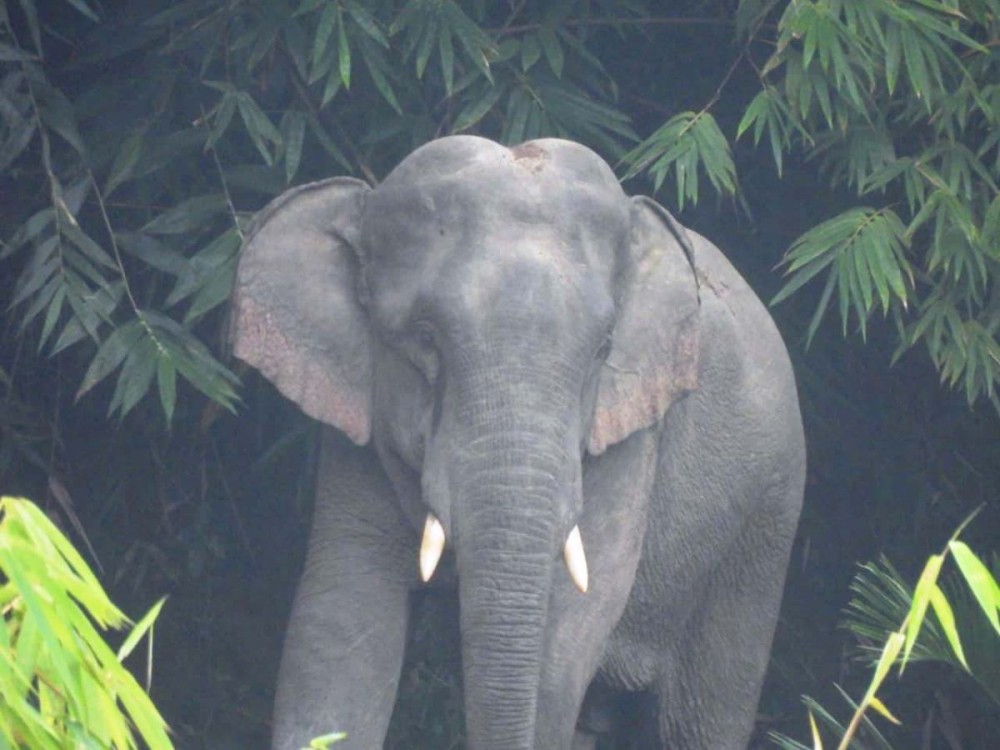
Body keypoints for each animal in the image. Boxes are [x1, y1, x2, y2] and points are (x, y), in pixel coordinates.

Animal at [230, 135, 805, 749]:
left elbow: (573, 626)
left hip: (763, 525)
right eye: (425, 338)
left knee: (703, 713)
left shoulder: (632, 431)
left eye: (603, 349)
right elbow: (339, 617)